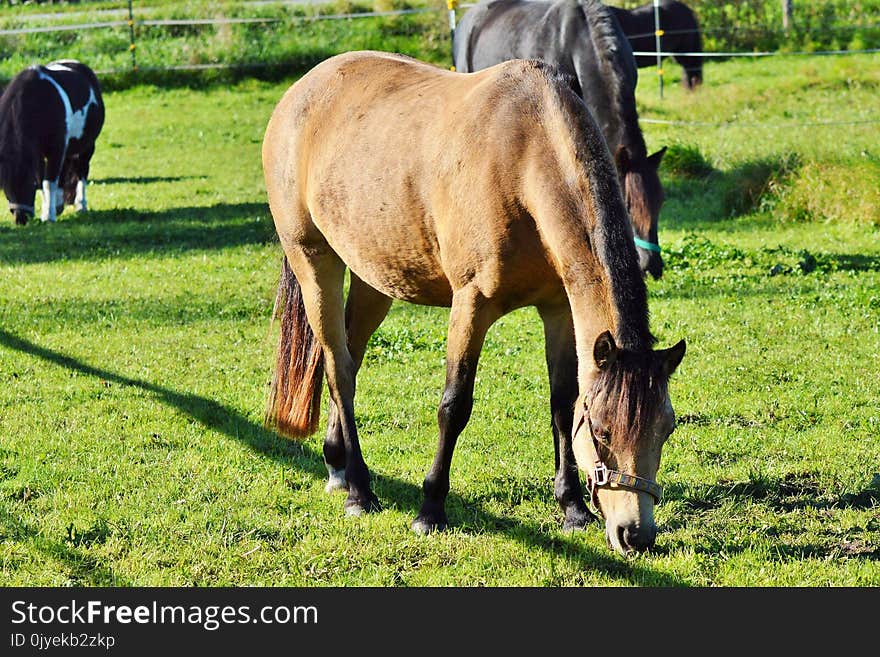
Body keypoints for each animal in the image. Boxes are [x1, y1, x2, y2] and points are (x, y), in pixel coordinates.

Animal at [0, 61, 105, 226]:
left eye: (30, 184)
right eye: (5, 187)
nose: (21, 219)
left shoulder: (56, 149)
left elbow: (48, 183)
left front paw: (49, 217)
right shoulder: (39, 153)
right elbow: (45, 181)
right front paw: (47, 212)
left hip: (87, 147)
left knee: (81, 171)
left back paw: (81, 205)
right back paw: (58, 205)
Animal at [262, 52, 688, 552]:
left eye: (666, 428)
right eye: (602, 431)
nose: (635, 534)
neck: (525, 158)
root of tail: (303, 90)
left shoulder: (559, 310)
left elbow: (561, 404)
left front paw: (572, 507)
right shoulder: (472, 305)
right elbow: (454, 405)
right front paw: (430, 509)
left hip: (374, 278)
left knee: (351, 355)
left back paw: (337, 464)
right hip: (314, 260)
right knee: (338, 368)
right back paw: (360, 491)